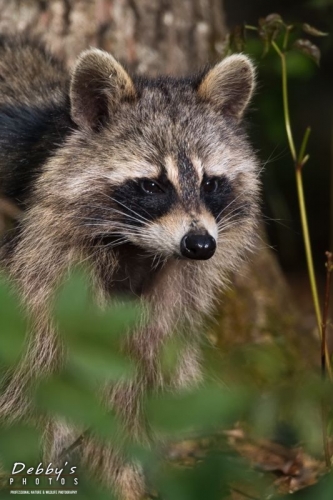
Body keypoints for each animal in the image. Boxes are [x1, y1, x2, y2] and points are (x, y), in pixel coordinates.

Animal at [0, 37, 260, 498]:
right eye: (152, 185)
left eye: (211, 182)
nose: (200, 245)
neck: (134, 251)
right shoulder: (35, 279)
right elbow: (29, 387)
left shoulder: (164, 306)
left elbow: (133, 391)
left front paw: (119, 479)